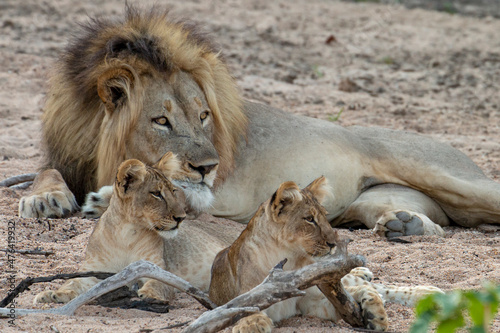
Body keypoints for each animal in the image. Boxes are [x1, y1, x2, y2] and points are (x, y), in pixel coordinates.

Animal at [19, 6, 500, 235]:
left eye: (204, 115)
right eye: (161, 121)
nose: (209, 166)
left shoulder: (220, 193)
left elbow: (182, 192)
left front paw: (106, 200)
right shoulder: (67, 154)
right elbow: (44, 170)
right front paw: (43, 199)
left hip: (442, 173)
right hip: (371, 203)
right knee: (440, 221)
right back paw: (406, 226)